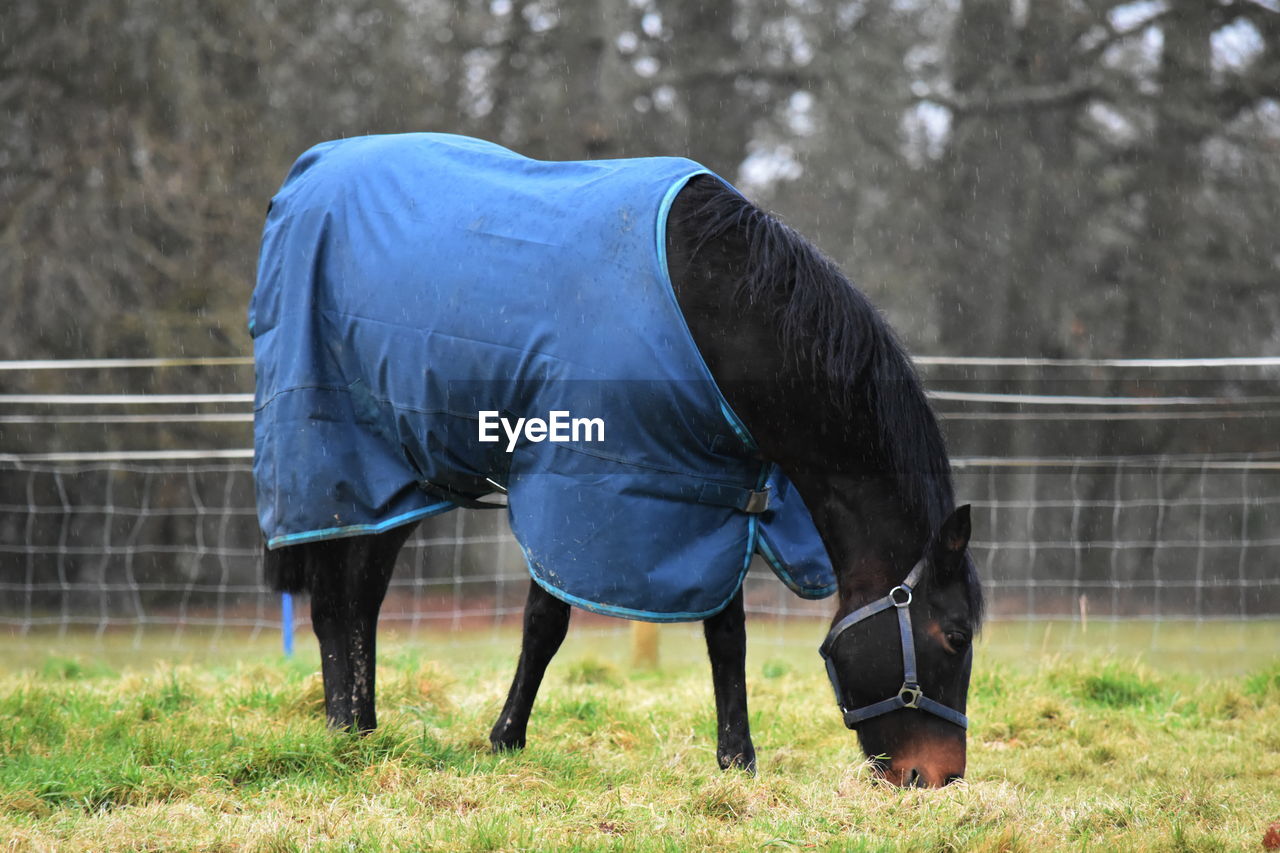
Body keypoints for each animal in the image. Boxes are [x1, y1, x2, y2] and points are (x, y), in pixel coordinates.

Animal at [252, 129, 988, 788]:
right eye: (954, 636)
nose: (939, 776)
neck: (714, 310)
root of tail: (306, 175)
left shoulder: (708, 490)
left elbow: (727, 631)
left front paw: (737, 761)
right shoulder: (581, 482)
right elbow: (546, 622)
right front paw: (506, 740)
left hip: (398, 476)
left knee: (359, 595)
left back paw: (362, 729)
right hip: (337, 461)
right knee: (334, 598)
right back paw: (343, 733)